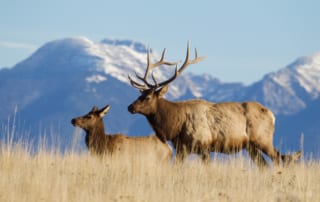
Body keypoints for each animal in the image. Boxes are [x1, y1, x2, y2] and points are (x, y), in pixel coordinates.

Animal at [127, 43, 300, 166]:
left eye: (148, 97)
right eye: (139, 94)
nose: (130, 107)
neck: (175, 126)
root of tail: (272, 115)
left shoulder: (204, 146)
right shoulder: (182, 149)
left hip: (263, 139)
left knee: (278, 158)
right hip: (251, 146)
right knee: (264, 165)